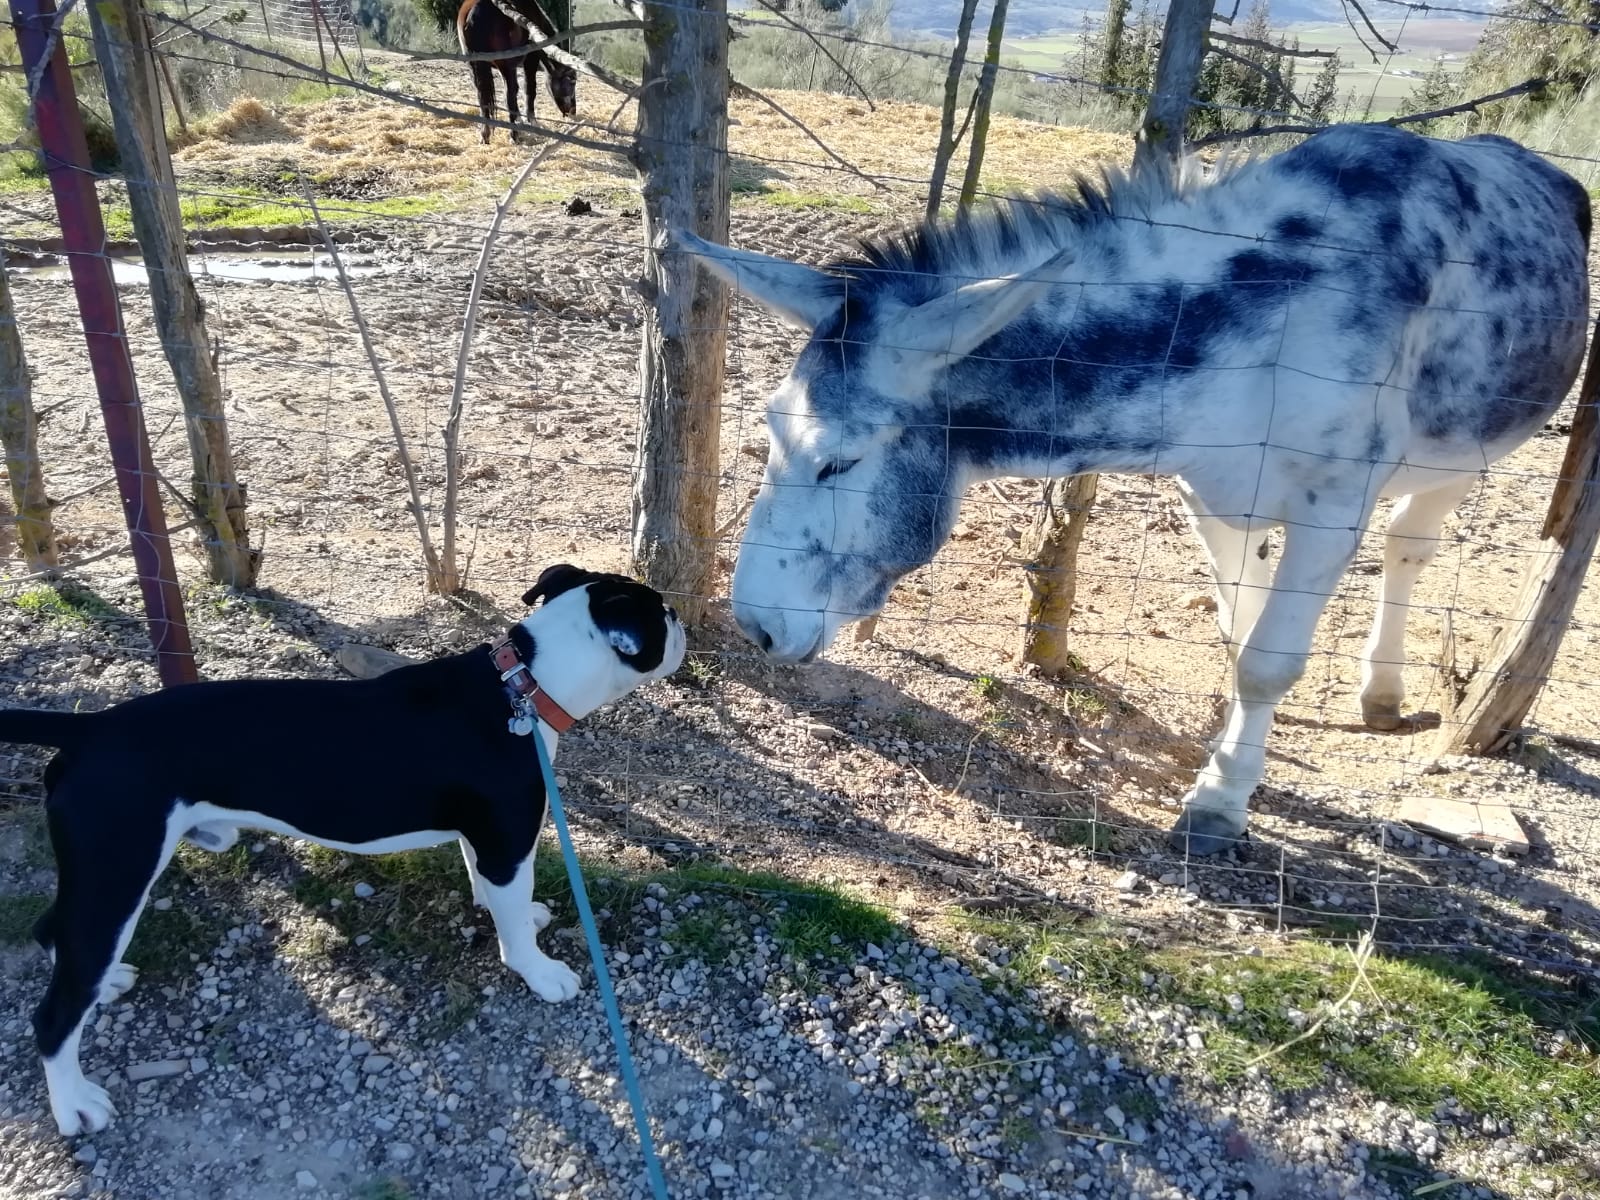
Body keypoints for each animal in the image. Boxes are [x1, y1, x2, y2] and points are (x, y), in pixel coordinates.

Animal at [0, 564, 686, 1138]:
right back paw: (76, 1104)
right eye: (661, 614)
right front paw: (540, 972)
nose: (680, 617)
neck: (524, 683)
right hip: (116, 875)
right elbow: (513, 924)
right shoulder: (509, 839)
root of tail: (91, 728)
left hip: (103, 877)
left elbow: (493, 893)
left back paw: (108, 982)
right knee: (54, 1016)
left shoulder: (484, 839)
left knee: (54, 934)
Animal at [456, 0, 577, 145]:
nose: (573, 111)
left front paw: (520, 119)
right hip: (506, 66)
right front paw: (531, 121)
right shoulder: (530, 59)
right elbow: (529, 89)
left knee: (483, 98)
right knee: (509, 97)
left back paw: (485, 134)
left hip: (475, 67)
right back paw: (514, 135)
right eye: (572, 82)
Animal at [670, 123, 1592, 857]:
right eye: (769, 430)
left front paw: (1218, 807)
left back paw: (1382, 690)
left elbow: (1270, 660)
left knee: (1409, 544)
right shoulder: (1212, 493)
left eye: (840, 462)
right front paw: (1239, 762)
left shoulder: (1336, 502)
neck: (1241, 334)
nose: (754, 626)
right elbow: (1243, 633)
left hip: (1461, 454)